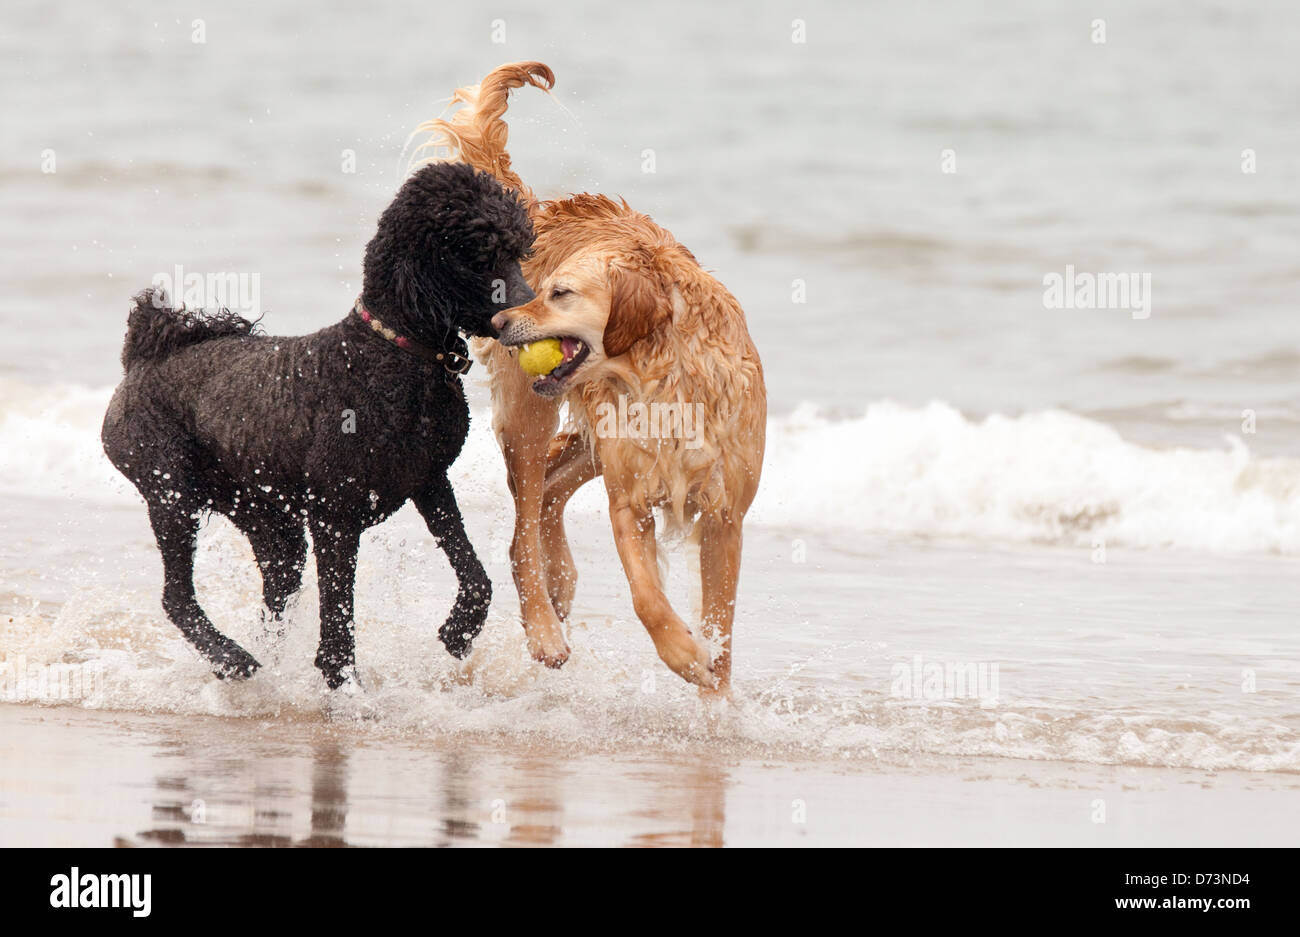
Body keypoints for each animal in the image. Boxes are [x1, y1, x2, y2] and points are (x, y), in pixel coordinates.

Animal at [98, 162, 530, 686]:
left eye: (519, 250)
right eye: (481, 257)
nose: (532, 308)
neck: (391, 350)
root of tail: (142, 356)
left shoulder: (430, 480)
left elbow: (475, 575)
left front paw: (458, 630)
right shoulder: (335, 517)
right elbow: (338, 622)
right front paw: (343, 684)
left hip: (263, 515)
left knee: (276, 588)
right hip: (170, 493)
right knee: (176, 598)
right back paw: (230, 658)